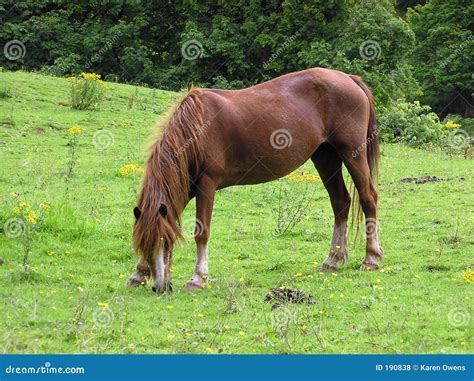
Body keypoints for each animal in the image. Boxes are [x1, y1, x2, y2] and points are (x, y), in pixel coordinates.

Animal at [128, 67, 384, 290]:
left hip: (352, 153)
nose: (159, 287)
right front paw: (139, 273)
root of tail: (349, 79)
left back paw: (371, 258)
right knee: (340, 202)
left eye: (166, 242)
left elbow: (202, 232)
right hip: (325, 157)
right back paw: (334, 259)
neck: (196, 131)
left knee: (368, 198)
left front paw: (198, 278)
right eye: (145, 244)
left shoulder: (206, 185)